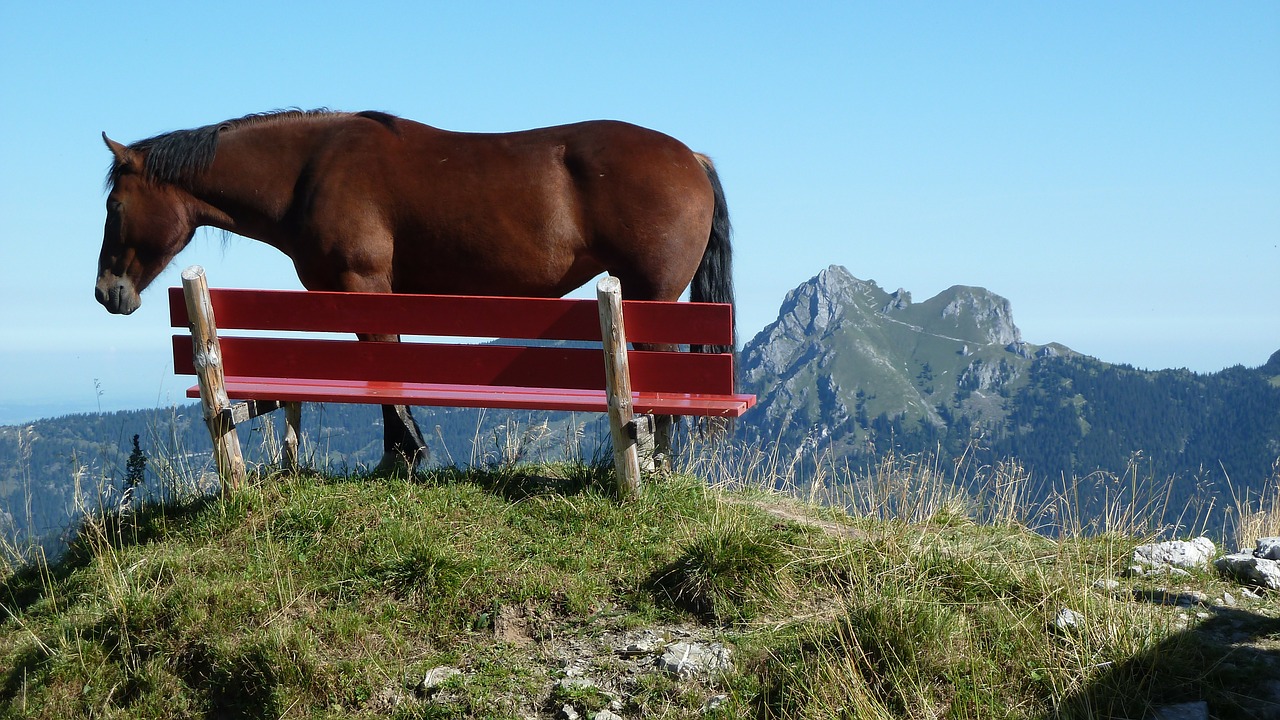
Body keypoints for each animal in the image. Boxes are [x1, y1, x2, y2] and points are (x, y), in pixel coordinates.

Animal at [94, 109, 737, 468]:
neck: (308, 172)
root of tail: (691, 156)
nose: (106, 291)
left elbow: (382, 370)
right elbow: (388, 368)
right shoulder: (378, 296)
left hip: (653, 299)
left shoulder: (363, 287)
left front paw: (402, 455)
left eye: (115, 206)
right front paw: (403, 452)